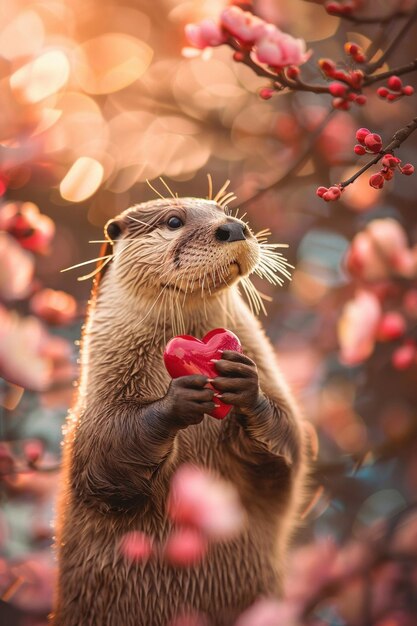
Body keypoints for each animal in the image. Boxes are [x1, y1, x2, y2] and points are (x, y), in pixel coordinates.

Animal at [52, 194, 306, 624]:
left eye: (224, 211)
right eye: (174, 221)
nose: (234, 227)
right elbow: (104, 459)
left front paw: (245, 384)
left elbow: (290, 446)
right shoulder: (93, 417)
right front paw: (178, 399)